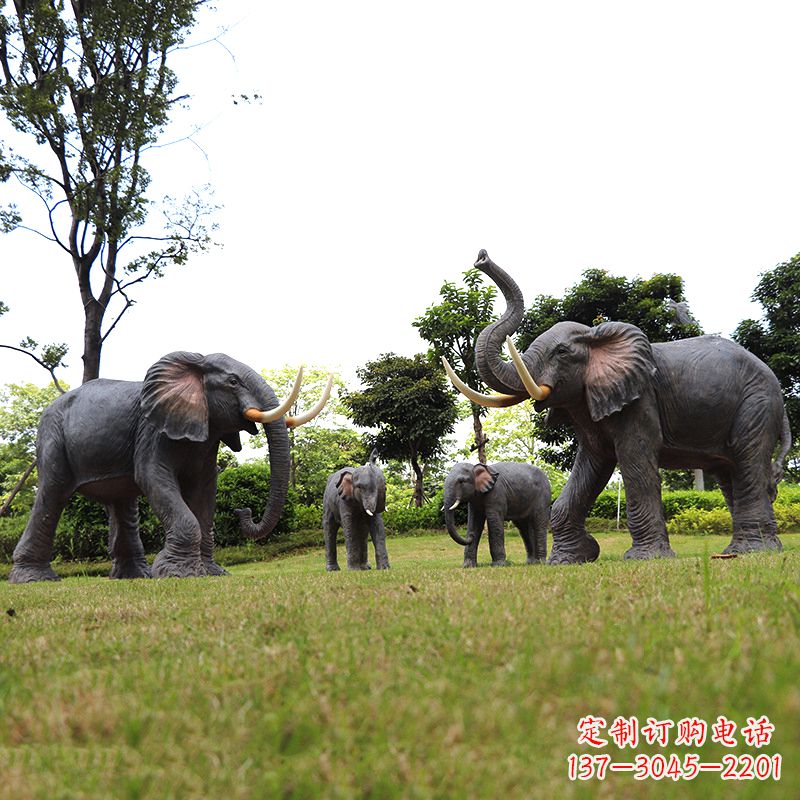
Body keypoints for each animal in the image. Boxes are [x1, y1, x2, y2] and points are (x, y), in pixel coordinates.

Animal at [10, 350, 328, 580]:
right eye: (233, 382)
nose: (243, 510)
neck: (195, 365)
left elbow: (204, 490)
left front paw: (211, 573)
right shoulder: (152, 429)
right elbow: (153, 477)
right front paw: (178, 573)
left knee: (122, 502)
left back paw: (135, 577)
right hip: (52, 437)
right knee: (52, 493)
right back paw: (33, 579)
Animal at [446, 250, 792, 564]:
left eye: (561, 352)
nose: (481, 257)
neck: (596, 336)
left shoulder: (640, 399)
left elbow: (634, 460)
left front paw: (645, 558)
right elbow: (592, 463)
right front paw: (571, 559)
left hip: (757, 403)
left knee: (747, 460)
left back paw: (749, 551)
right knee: (728, 471)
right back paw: (752, 549)